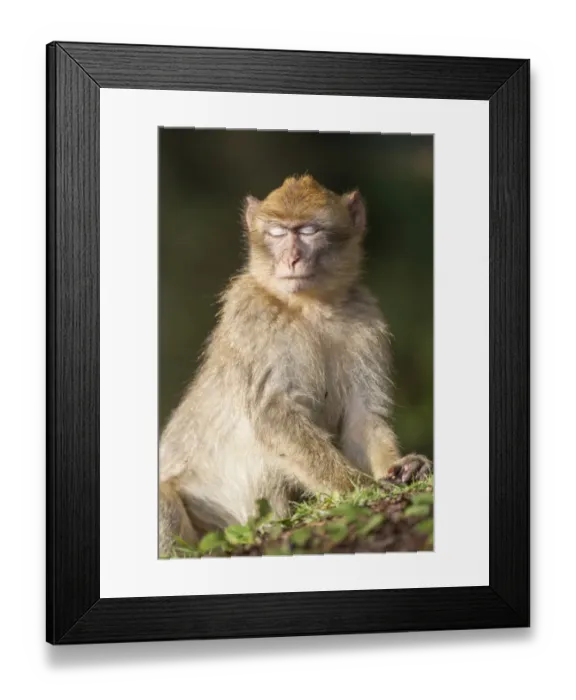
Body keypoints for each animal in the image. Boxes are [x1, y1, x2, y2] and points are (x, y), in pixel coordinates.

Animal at [159, 175, 431, 555]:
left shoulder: (366, 317)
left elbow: (363, 417)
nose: (291, 259)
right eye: (276, 232)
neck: (309, 306)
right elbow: (276, 416)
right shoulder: (252, 315)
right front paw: (356, 486)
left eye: (308, 231)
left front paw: (401, 466)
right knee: (164, 500)